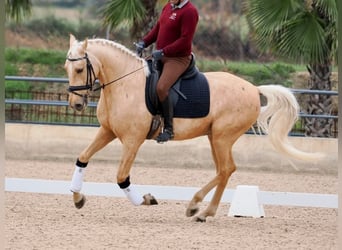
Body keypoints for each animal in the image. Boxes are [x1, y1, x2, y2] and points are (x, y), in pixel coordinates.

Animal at [65, 34, 322, 222]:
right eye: (67, 68)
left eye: (79, 70)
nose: (76, 104)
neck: (125, 83)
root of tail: (253, 89)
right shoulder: (107, 131)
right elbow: (82, 158)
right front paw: (78, 198)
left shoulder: (132, 140)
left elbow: (121, 177)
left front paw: (146, 200)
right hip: (214, 137)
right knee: (223, 171)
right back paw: (201, 211)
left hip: (222, 137)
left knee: (226, 169)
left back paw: (197, 207)